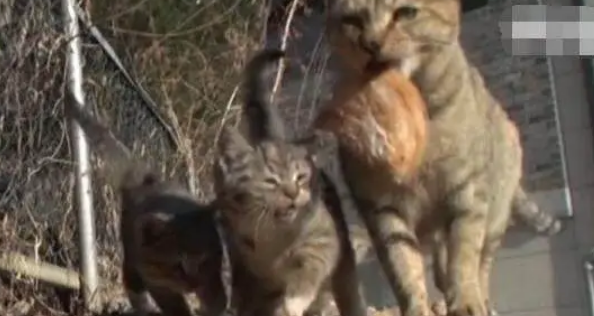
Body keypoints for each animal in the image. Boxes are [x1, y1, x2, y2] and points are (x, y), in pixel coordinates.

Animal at [62, 95, 224, 316]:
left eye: (203, 260)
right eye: (178, 264)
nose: (193, 285)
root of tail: (147, 178)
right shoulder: (156, 280)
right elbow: (174, 304)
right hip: (132, 255)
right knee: (132, 283)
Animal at [213, 47, 368, 316]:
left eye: (301, 177)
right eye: (271, 181)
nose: (293, 193)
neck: (272, 237)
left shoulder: (322, 239)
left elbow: (308, 272)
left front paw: (293, 301)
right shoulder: (241, 259)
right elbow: (248, 295)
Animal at [314, 1, 560, 314]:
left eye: (406, 13)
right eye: (352, 21)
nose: (371, 43)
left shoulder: (468, 191)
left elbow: (464, 256)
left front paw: (466, 301)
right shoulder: (380, 207)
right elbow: (403, 266)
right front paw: (417, 307)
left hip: (494, 217)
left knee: (481, 264)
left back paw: (481, 300)